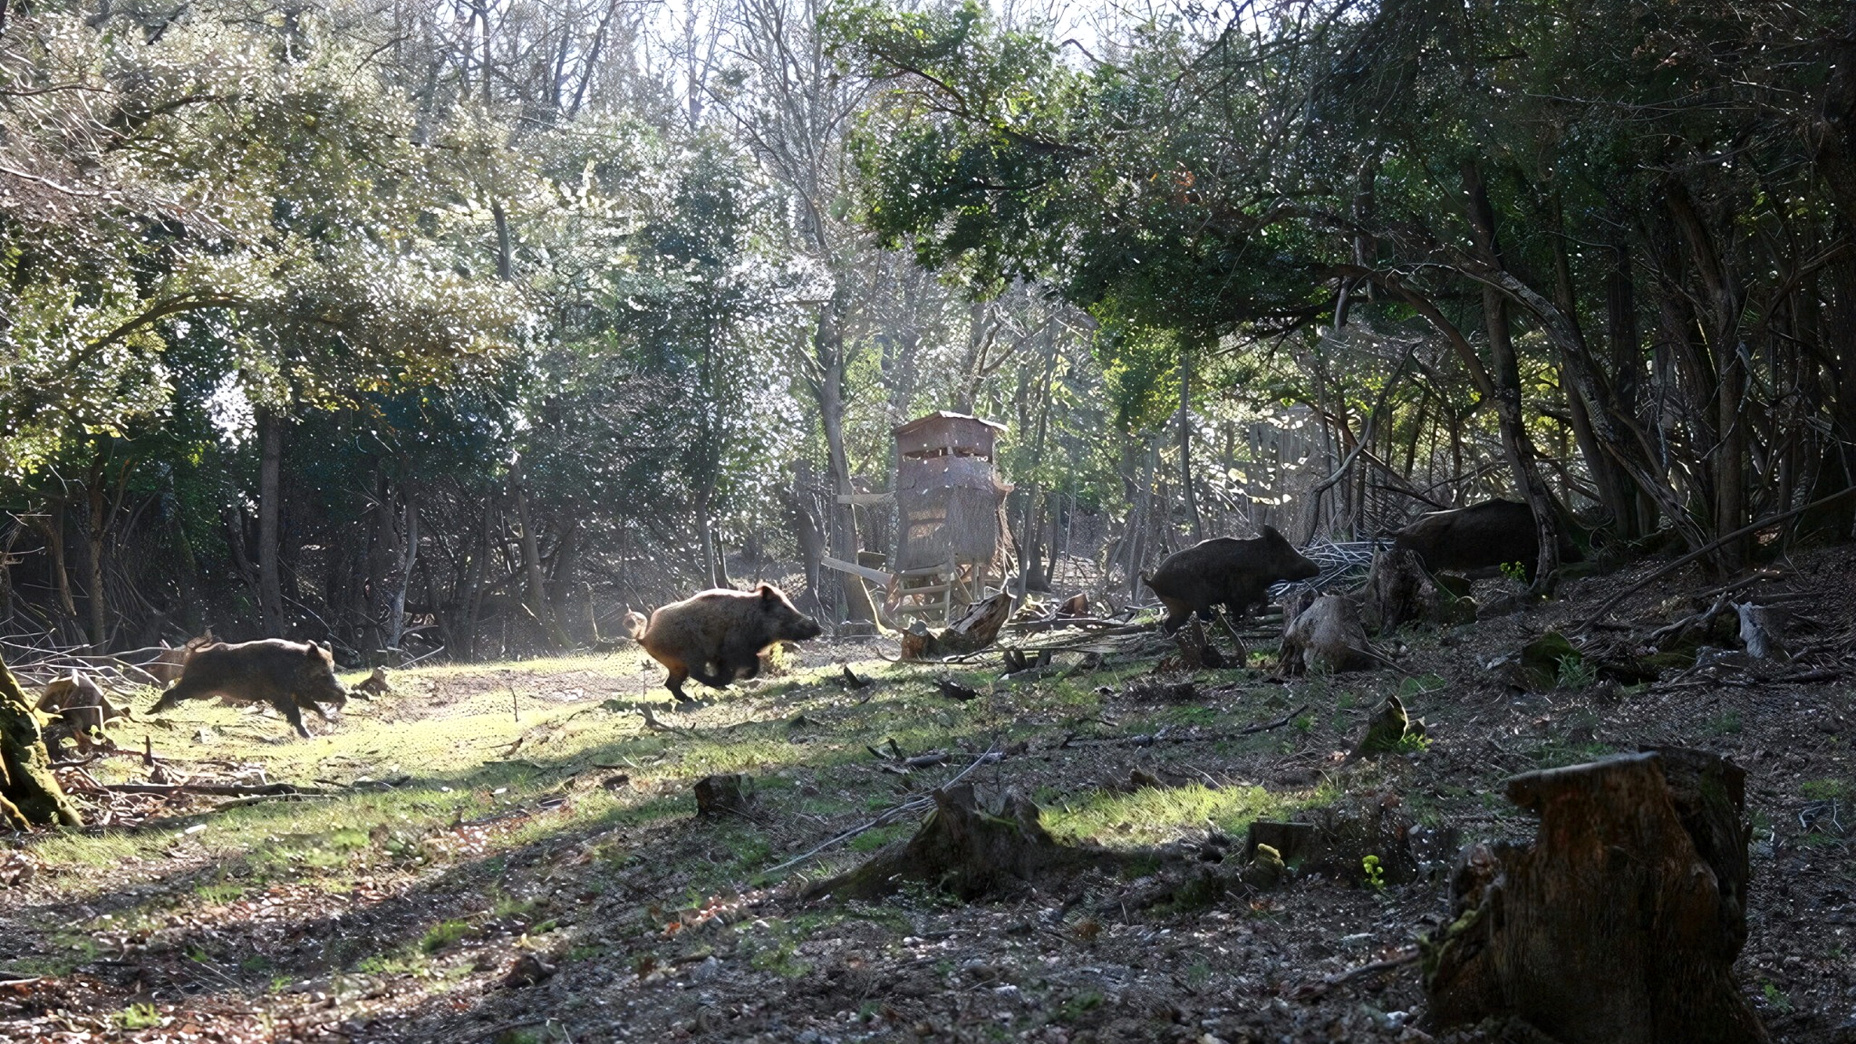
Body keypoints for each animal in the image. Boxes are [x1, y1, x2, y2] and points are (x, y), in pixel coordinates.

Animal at [149, 639, 349, 739]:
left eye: (332, 669)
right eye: (323, 673)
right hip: (195, 686)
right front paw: (309, 737)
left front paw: (330, 721)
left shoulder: (296, 694)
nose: (344, 695)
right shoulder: (281, 695)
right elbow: (296, 715)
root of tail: (193, 654)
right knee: (170, 692)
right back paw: (151, 712)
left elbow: (314, 707)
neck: (295, 667)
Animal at [640, 584, 823, 704]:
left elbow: (753, 667)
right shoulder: (731, 651)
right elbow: (737, 671)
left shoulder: (741, 653)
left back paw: (689, 699)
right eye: (785, 607)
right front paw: (739, 677)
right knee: (694, 674)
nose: (818, 628)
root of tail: (646, 637)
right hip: (692, 655)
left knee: (671, 683)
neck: (754, 620)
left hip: (677, 665)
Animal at [1142, 526, 1321, 633]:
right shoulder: (1239, 593)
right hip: (1194, 600)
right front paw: (1242, 619)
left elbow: (1263, 599)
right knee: (1201, 615)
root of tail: (1152, 581)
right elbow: (1241, 608)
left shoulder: (1253, 591)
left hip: (1179, 607)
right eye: (1287, 553)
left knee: (1170, 623)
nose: (1317, 567)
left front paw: (1256, 614)